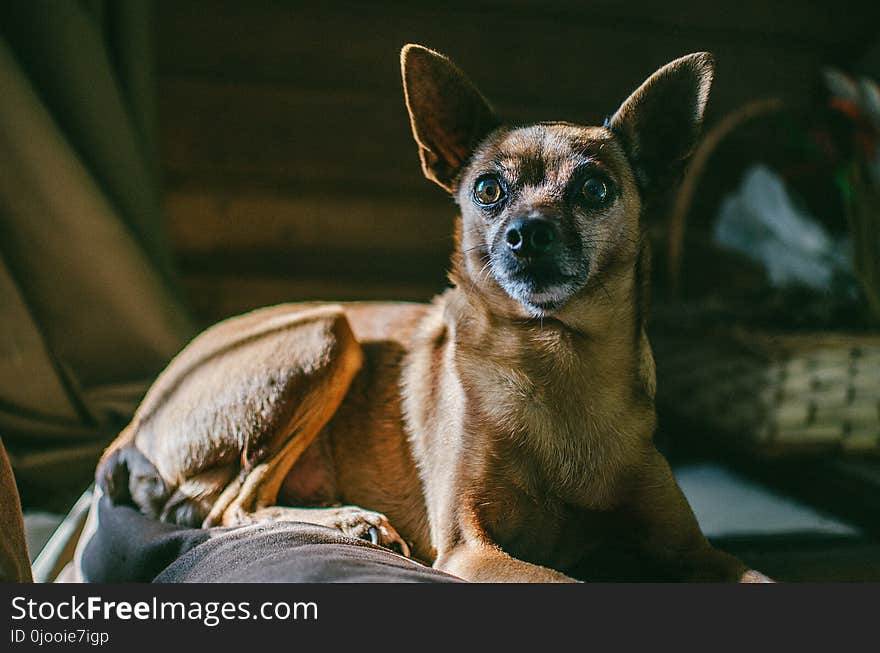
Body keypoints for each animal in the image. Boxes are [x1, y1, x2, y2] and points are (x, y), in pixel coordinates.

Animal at [98, 47, 768, 584]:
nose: (527, 234)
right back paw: (352, 522)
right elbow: (564, 581)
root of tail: (135, 422)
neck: (555, 359)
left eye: (596, 190)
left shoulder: (697, 552)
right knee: (226, 508)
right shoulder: (473, 548)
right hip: (326, 332)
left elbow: (758, 576)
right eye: (488, 190)